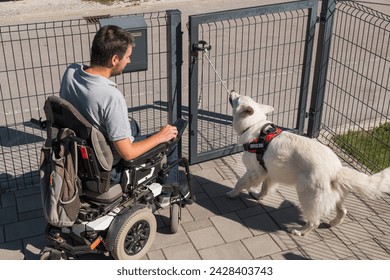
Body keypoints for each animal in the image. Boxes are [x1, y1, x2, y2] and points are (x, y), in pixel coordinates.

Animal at [225, 91, 390, 235]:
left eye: (237, 98)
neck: (256, 126)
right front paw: (258, 195)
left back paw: (300, 231)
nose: (231, 90)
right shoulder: (267, 171)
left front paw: (232, 194)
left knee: (314, 222)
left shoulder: (254, 172)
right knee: (343, 211)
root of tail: (336, 170)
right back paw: (333, 223)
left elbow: (240, 182)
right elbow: (265, 187)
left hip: (307, 196)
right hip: (334, 197)